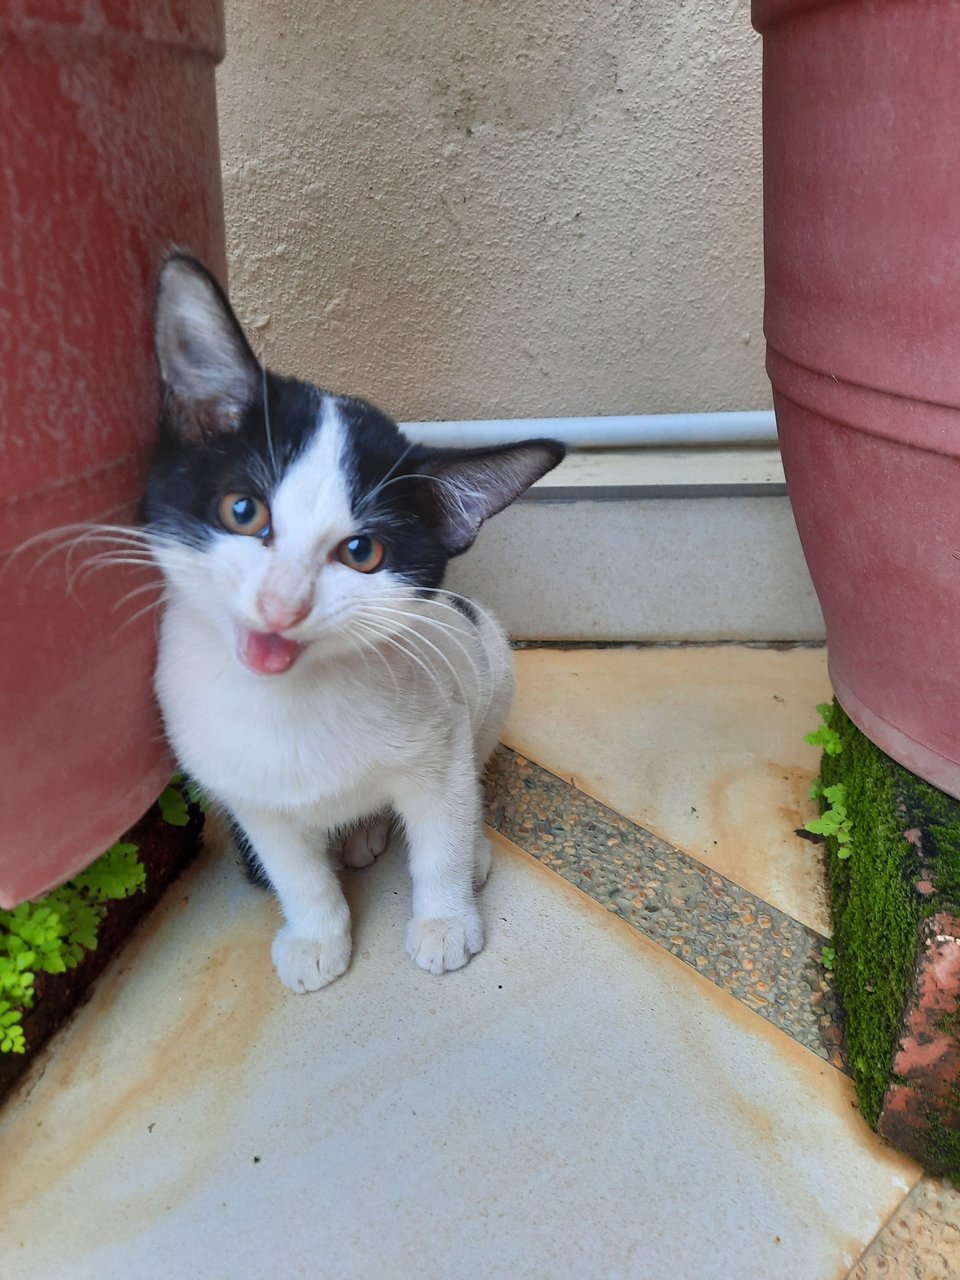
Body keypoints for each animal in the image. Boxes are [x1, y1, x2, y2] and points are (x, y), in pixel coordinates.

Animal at [146, 254, 568, 993]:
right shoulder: (246, 792)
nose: (282, 605)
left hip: (491, 675)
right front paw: (317, 936)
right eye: (242, 511)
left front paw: (445, 919)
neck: (291, 702)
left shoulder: (439, 745)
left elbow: (440, 835)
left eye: (361, 552)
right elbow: (295, 871)